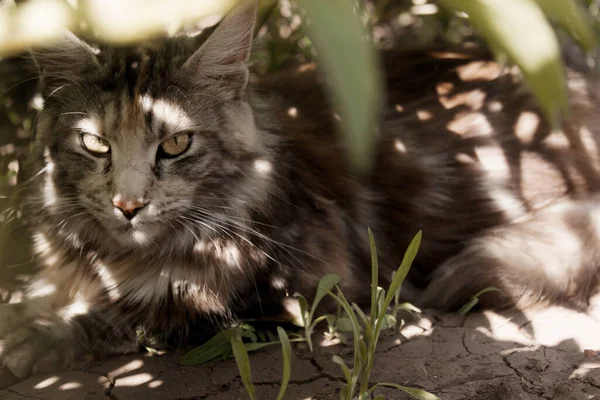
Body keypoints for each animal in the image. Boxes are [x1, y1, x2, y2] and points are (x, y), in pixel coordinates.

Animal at [1, 0, 600, 382]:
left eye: (174, 144)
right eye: (95, 143)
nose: (128, 206)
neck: (122, 256)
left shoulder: (294, 291)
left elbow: (145, 313)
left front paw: (37, 336)